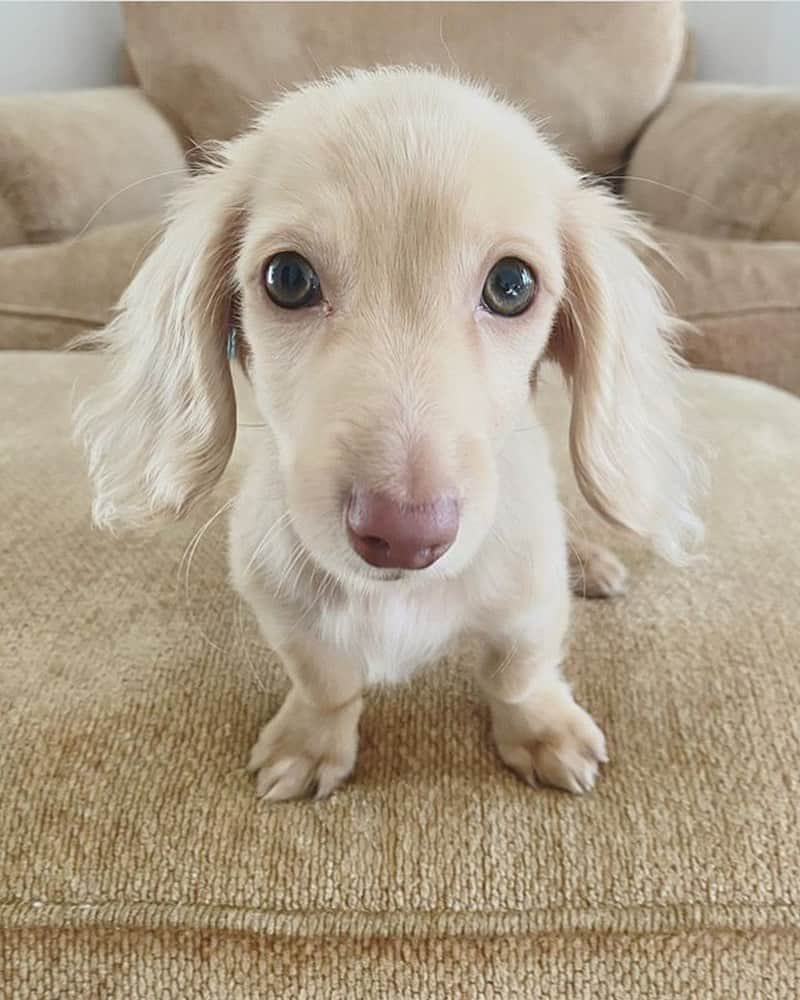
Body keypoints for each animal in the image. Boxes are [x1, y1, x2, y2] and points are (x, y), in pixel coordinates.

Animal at [75, 68, 700, 804]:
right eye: (287, 277)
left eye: (511, 285)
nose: (404, 535)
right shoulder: (285, 608)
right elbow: (326, 681)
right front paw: (311, 742)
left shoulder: (529, 605)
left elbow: (518, 673)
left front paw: (543, 730)